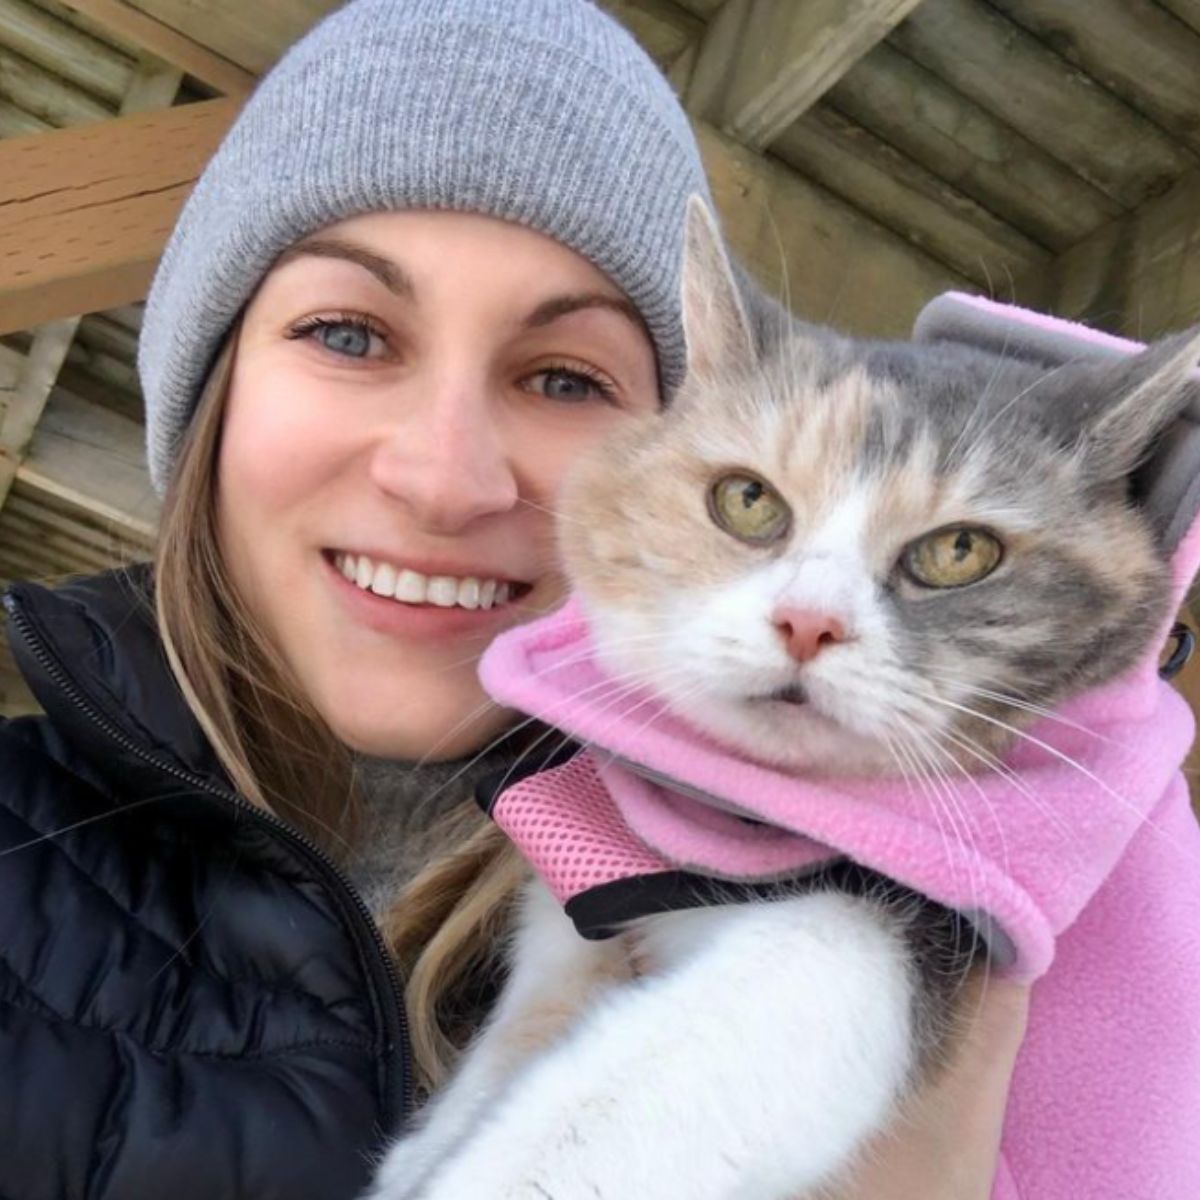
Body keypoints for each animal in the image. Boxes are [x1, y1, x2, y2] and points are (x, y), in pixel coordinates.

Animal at [364, 196, 1200, 1200]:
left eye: (959, 551)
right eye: (748, 501)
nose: (810, 623)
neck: (730, 819)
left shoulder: (911, 937)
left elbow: (631, 1099)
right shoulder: (584, 877)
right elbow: (537, 1006)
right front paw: (427, 1144)